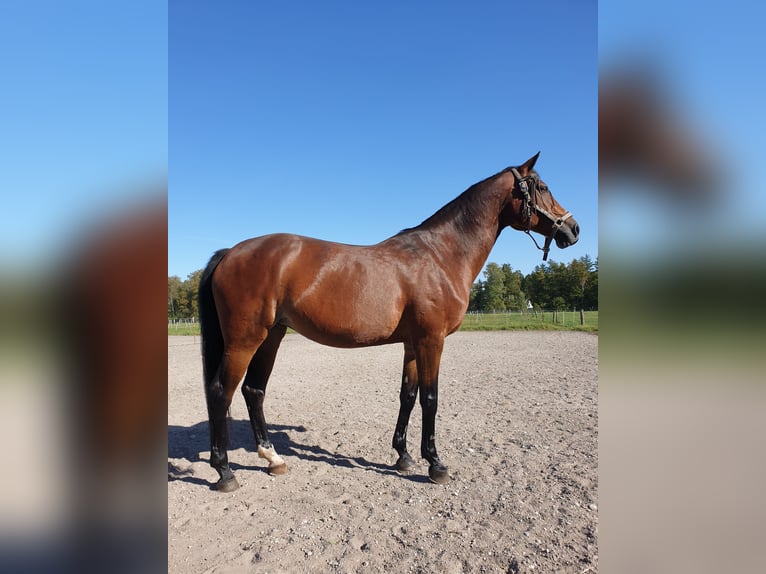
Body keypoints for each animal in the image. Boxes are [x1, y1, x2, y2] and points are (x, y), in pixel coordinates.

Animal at [200, 154, 584, 496]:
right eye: (543, 187)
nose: (574, 229)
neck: (440, 255)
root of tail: (230, 252)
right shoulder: (432, 340)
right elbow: (430, 398)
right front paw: (435, 464)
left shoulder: (413, 343)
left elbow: (407, 396)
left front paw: (403, 455)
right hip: (245, 339)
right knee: (221, 392)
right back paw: (225, 472)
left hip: (271, 336)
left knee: (253, 391)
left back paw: (273, 459)